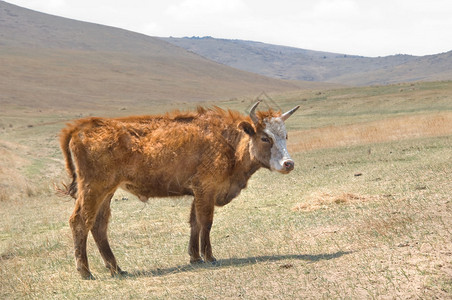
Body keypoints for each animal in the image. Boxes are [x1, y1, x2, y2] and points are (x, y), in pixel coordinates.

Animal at [61, 102, 300, 280]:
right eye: (265, 137)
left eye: (286, 136)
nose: (288, 164)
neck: (228, 142)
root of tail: (83, 126)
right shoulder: (207, 189)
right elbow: (206, 222)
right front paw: (209, 257)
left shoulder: (198, 192)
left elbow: (194, 222)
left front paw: (195, 257)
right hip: (93, 189)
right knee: (80, 221)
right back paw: (85, 271)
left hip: (107, 191)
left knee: (99, 225)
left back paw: (116, 268)